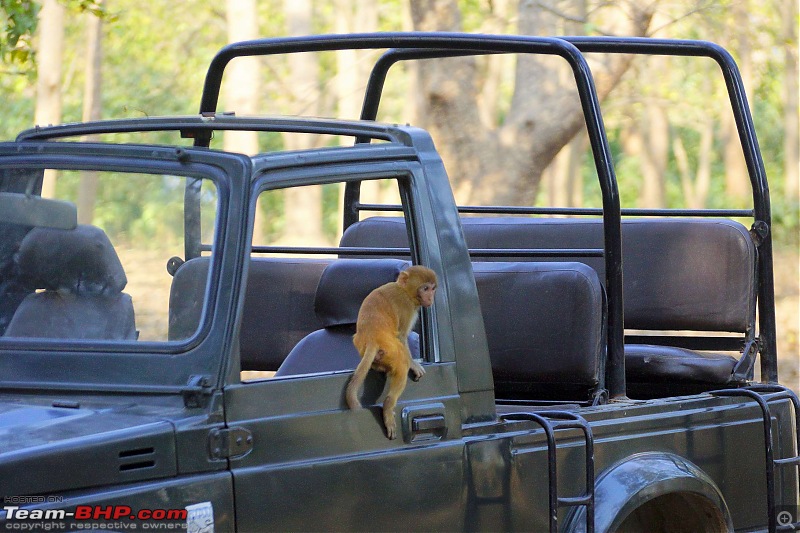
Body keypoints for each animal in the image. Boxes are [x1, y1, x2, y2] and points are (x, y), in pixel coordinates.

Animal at [346, 264, 438, 438]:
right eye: (425, 288)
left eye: (432, 288)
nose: (431, 298)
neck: (404, 290)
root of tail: (372, 339)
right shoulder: (407, 307)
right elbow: (402, 335)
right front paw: (414, 364)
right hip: (391, 349)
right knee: (401, 361)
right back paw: (389, 405)